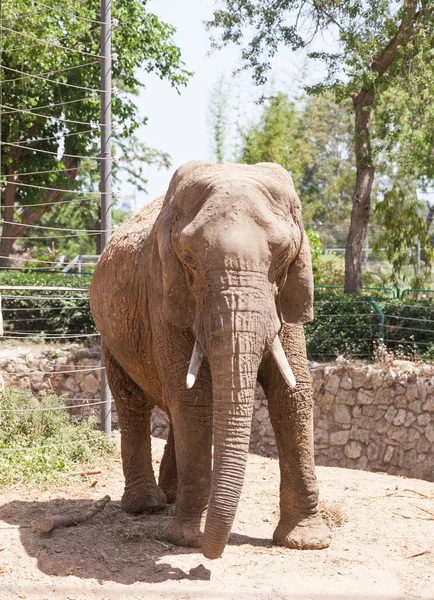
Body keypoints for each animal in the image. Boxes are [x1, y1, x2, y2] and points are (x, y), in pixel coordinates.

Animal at [90, 159, 330, 556]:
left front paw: (307, 542)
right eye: (188, 259)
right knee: (134, 401)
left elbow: (291, 394)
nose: (210, 551)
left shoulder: (285, 300)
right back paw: (147, 506)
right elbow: (194, 398)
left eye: (283, 256)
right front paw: (185, 539)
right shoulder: (164, 290)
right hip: (111, 333)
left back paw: (170, 497)